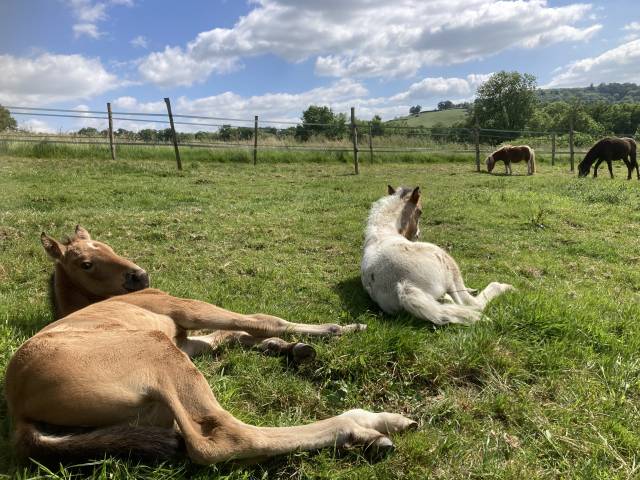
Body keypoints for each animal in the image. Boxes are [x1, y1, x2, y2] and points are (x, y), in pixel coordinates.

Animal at [5, 226, 416, 465]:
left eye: (107, 245)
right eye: (87, 263)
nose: (140, 275)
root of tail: (19, 409)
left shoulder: (184, 340)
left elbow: (227, 337)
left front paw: (286, 347)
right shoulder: (184, 308)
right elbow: (259, 319)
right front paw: (340, 328)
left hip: (155, 401)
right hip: (156, 350)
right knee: (221, 439)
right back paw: (367, 424)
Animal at [361, 186, 514, 326]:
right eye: (420, 211)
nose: (417, 235)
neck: (383, 231)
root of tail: (402, 286)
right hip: (449, 267)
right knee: (471, 303)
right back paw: (505, 287)